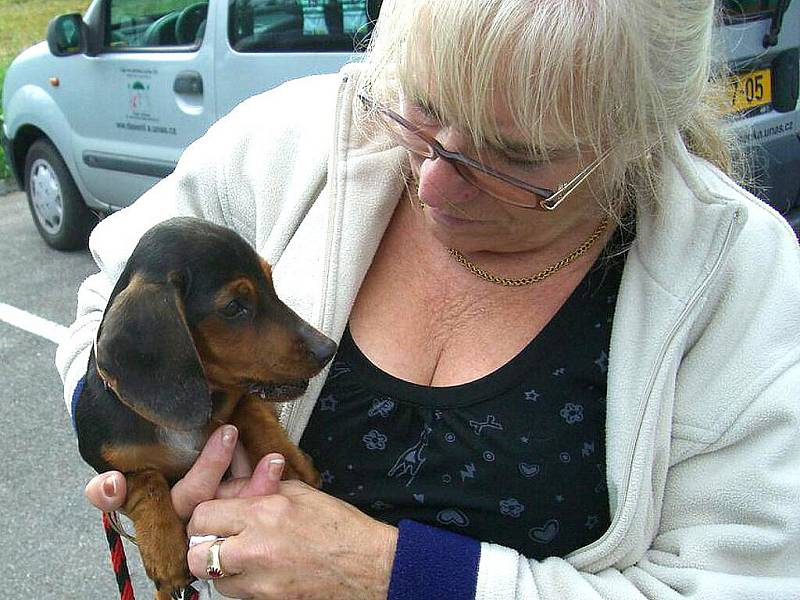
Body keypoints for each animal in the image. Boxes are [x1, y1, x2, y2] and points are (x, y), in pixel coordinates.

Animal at [72, 218, 338, 596]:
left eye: (270, 282)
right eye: (234, 306)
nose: (327, 348)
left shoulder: (242, 398)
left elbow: (251, 411)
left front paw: (291, 462)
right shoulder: (107, 464)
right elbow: (146, 480)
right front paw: (164, 550)